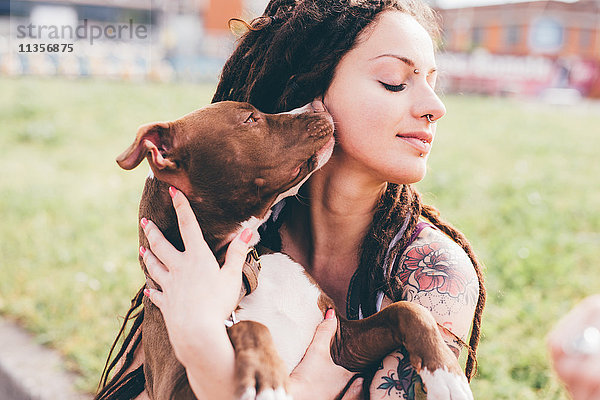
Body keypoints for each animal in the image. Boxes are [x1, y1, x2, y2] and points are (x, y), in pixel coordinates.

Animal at [117, 101, 474, 400]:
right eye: (250, 118)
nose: (316, 103)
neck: (245, 271)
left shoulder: (341, 344)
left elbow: (408, 311)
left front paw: (446, 375)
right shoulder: (178, 384)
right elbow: (249, 326)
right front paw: (268, 381)